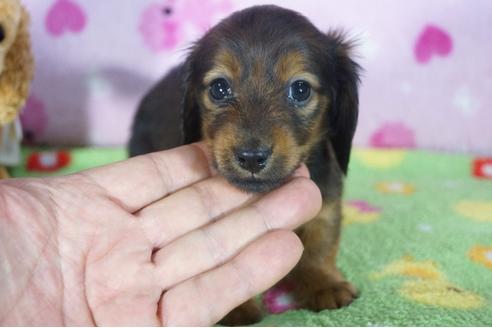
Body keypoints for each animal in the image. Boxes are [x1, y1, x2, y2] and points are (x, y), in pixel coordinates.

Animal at [130, 5, 362, 326]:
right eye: (219, 88)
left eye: (300, 89)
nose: (252, 157)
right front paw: (232, 309)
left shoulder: (325, 199)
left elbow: (319, 245)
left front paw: (325, 284)